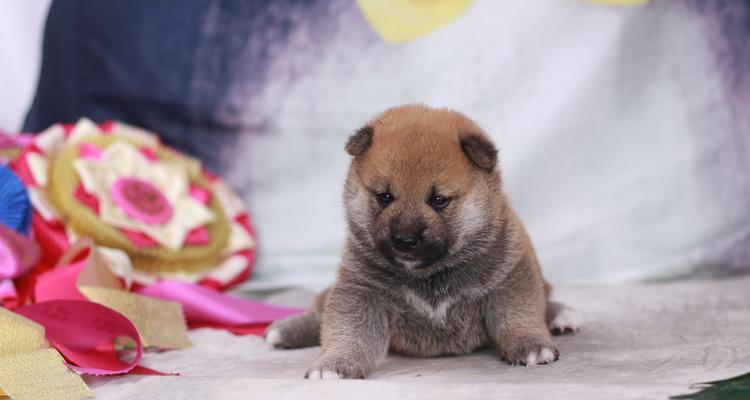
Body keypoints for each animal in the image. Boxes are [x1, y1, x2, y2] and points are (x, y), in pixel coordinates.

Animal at [264, 104, 580, 378]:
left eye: (438, 200)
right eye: (384, 197)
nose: (405, 240)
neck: (430, 274)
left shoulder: (510, 277)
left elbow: (520, 314)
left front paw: (531, 345)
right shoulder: (361, 290)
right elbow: (346, 329)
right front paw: (335, 363)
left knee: (544, 296)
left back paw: (561, 315)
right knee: (321, 309)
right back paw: (286, 330)